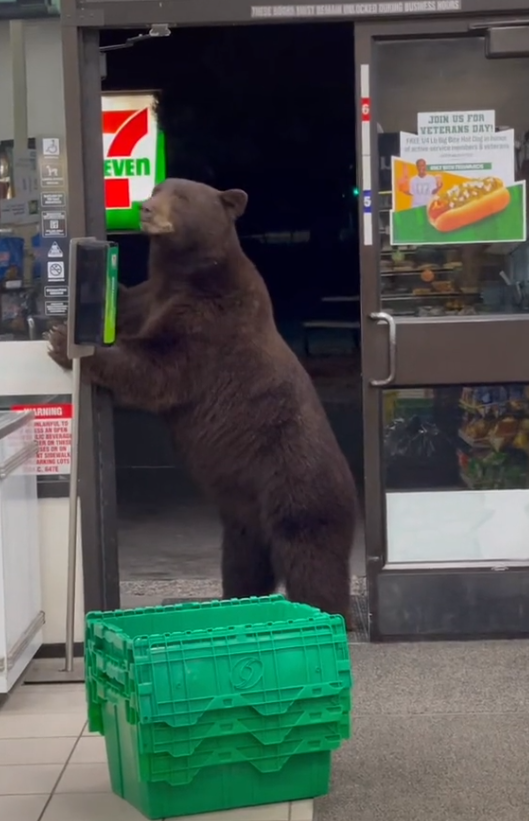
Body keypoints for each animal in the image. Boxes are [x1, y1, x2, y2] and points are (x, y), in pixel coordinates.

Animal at [49, 179, 356, 628]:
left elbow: (158, 366)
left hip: (300, 491)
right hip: (245, 522)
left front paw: (67, 344)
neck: (186, 274)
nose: (146, 208)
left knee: (313, 565)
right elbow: (129, 306)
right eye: (158, 188)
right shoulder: (151, 298)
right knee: (243, 566)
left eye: (181, 197)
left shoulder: (210, 322)